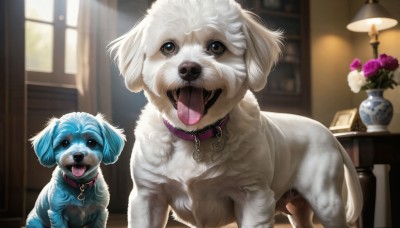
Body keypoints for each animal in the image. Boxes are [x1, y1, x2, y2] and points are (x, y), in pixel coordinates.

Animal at [109, 0, 362, 227]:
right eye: (168, 47)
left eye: (216, 47)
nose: (189, 68)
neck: (194, 137)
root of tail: (328, 133)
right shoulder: (147, 198)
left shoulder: (254, 198)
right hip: (298, 208)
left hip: (327, 203)